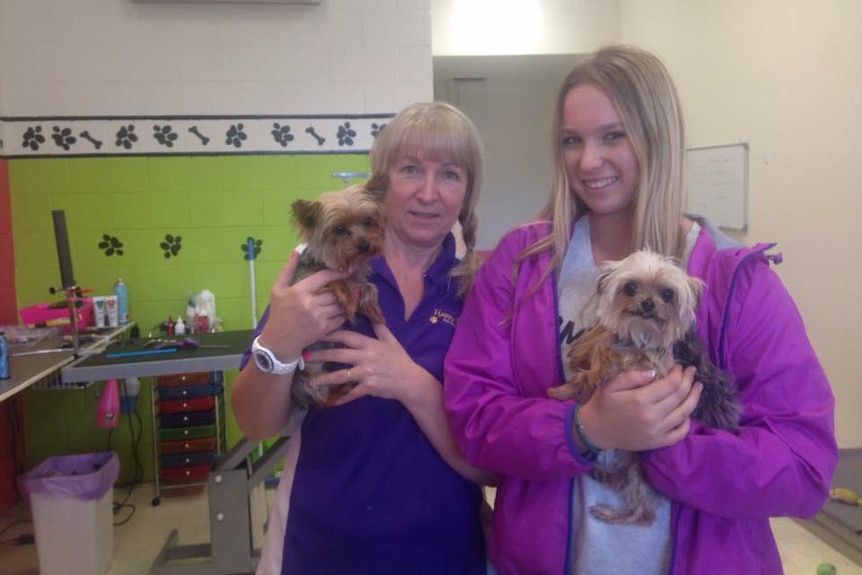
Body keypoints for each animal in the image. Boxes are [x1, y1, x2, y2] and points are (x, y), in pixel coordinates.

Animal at [290, 186, 384, 410]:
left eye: (367, 221)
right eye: (339, 229)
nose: (365, 244)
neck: (347, 267)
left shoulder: (358, 279)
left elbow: (368, 287)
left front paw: (374, 310)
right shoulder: (305, 282)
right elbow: (335, 280)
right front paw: (348, 300)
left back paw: (347, 385)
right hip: (309, 380)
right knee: (323, 396)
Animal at [552, 250, 740, 524]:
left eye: (667, 294)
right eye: (631, 287)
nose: (648, 303)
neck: (640, 333)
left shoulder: (649, 366)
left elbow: (603, 363)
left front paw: (564, 389)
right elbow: (602, 334)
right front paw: (582, 349)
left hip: (641, 471)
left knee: (643, 514)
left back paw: (611, 513)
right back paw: (601, 473)